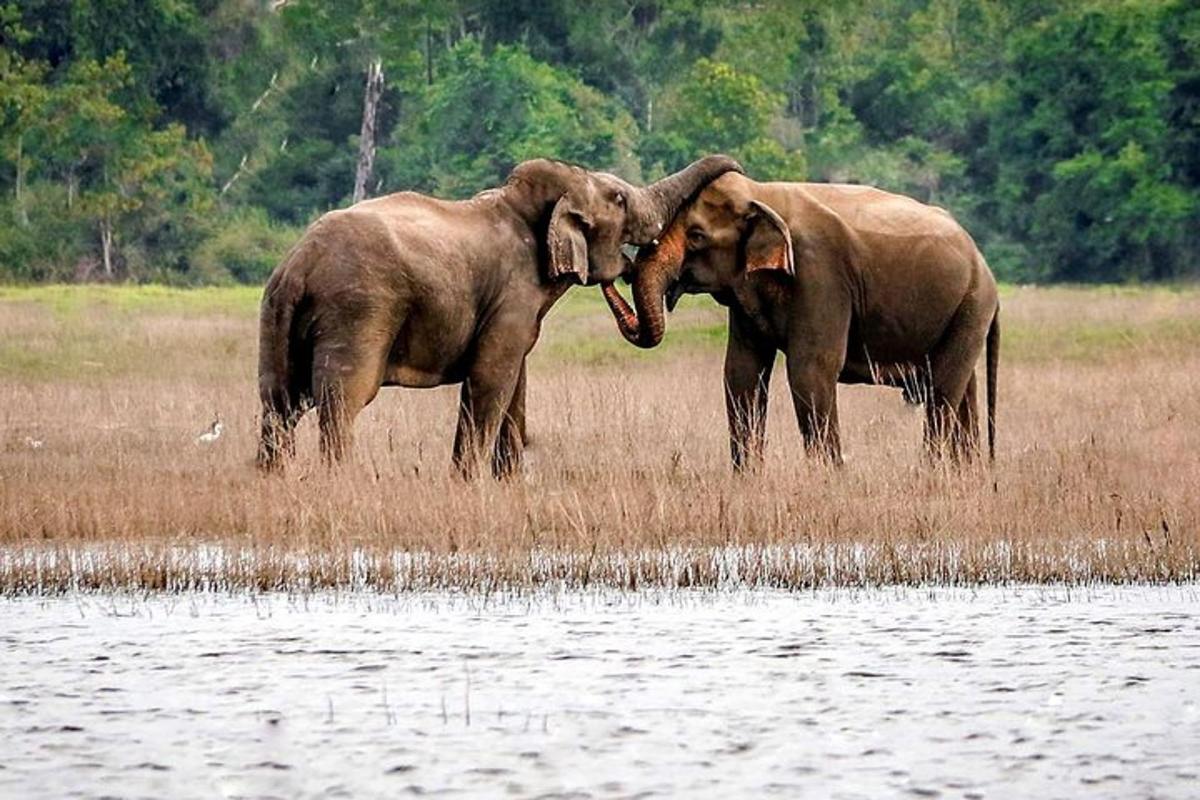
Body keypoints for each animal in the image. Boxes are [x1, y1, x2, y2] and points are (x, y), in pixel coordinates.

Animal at [259, 154, 739, 474]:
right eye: (620, 199)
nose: (735, 169)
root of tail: (299, 264)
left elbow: (514, 384)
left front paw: (507, 481)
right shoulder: (513, 293)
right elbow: (491, 378)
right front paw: (467, 483)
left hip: (276, 314)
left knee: (278, 403)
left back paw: (274, 478)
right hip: (358, 312)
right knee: (341, 402)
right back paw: (339, 479)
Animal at [600, 172, 1003, 465]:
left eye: (697, 236)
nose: (620, 269)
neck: (760, 193)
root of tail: (983, 262)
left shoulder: (820, 275)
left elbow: (810, 369)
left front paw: (829, 481)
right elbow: (741, 372)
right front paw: (748, 480)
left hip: (972, 306)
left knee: (943, 390)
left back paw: (932, 475)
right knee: (963, 391)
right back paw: (965, 476)